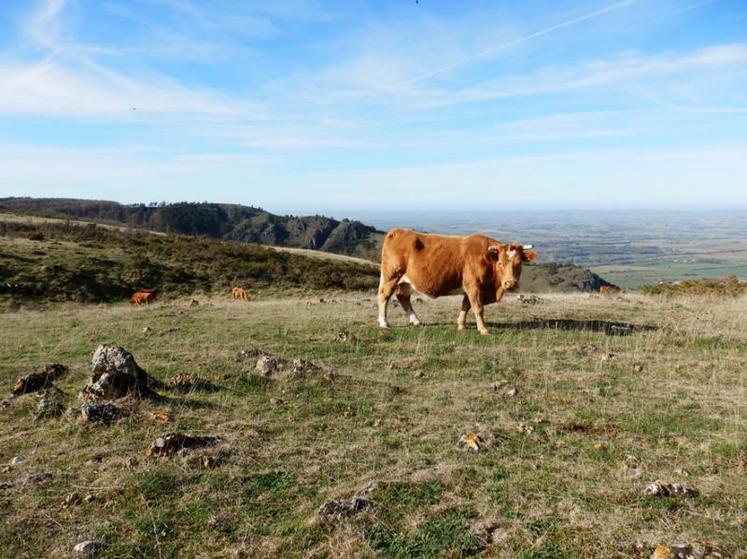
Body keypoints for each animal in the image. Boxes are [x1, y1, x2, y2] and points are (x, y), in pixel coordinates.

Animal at [380, 229, 536, 334]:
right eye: (500, 263)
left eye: (519, 263)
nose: (510, 283)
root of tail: (398, 231)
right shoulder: (474, 285)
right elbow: (478, 307)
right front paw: (483, 329)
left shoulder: (469, 286)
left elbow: (466, 305)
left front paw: (461, 325)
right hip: (391, 276)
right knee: (384, 296)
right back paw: (384, 323)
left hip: (406, 282)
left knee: (403, 297)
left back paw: (416, 321)